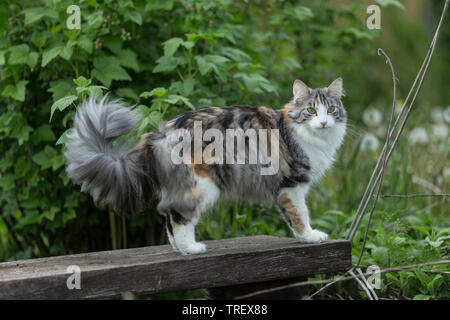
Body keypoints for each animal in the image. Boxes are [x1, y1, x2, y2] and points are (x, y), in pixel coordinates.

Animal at [65, 78, 346, 255]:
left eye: (331, 110)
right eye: (311, 111)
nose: (323, 122)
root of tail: (163, 131)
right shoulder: (293, 185)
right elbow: (300, 215)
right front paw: (310, 236)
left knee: (167, 215)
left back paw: (179, 248)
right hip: (204, 185)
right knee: (176, 215)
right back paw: (190, 249)